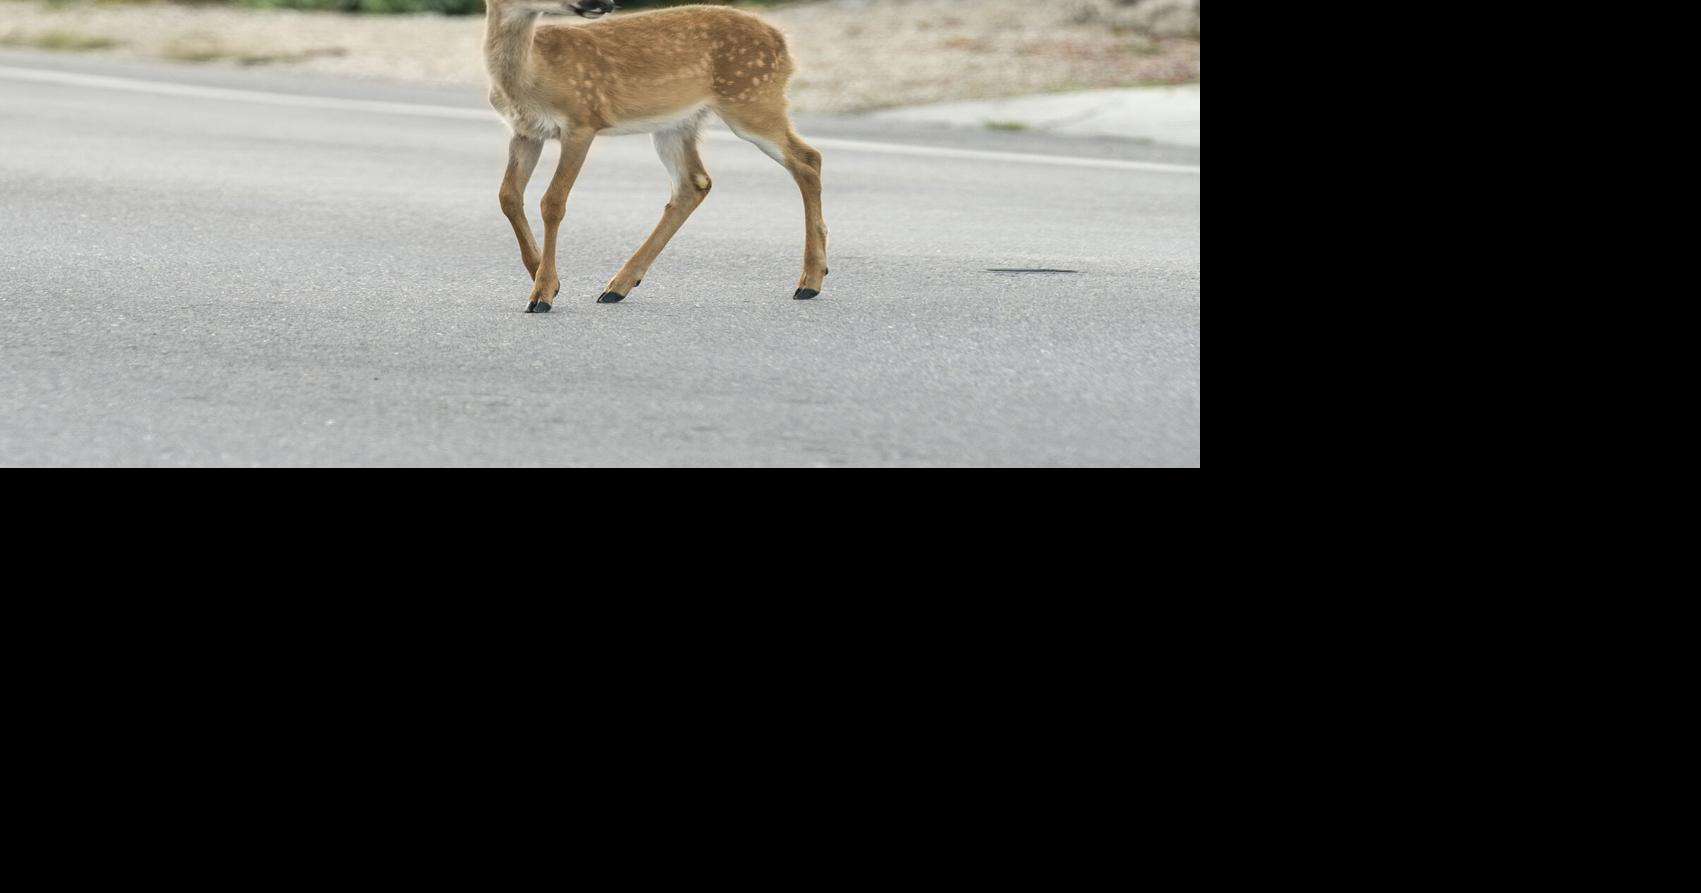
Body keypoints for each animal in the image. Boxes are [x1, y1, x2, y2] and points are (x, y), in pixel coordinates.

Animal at [485, 0, 829, 314]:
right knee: (695, 183)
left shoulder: (582, 121)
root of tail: (781, 40)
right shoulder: (526, 132)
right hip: (676, 124)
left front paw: (542, 292)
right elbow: (508, 197)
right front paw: (544, 277)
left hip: (751, 99)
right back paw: (618, 286)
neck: (535, 73)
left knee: (808, 159)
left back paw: (809, 281)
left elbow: (553, 202)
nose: (606, 4)